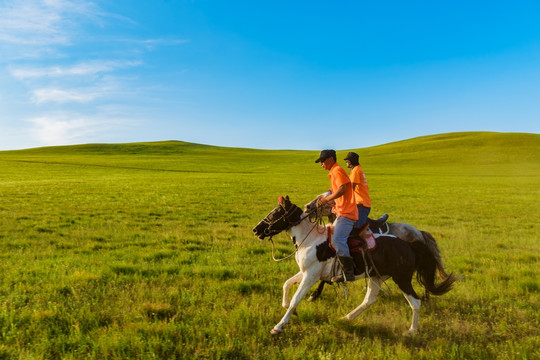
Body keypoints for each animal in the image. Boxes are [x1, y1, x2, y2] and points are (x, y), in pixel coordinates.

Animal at [251, 195, 454, 336]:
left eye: (275, 213)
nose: (256, 230)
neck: (311, 239)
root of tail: (409, 244)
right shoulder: (308, 272)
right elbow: (287, 284)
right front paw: (287, 308)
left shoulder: (310, 276)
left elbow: (296, 298)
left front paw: (279, 326)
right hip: (377, 276)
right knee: (369, 300)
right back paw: (346, 318)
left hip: (402, 279)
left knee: (415, 302)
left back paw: (411, 331)